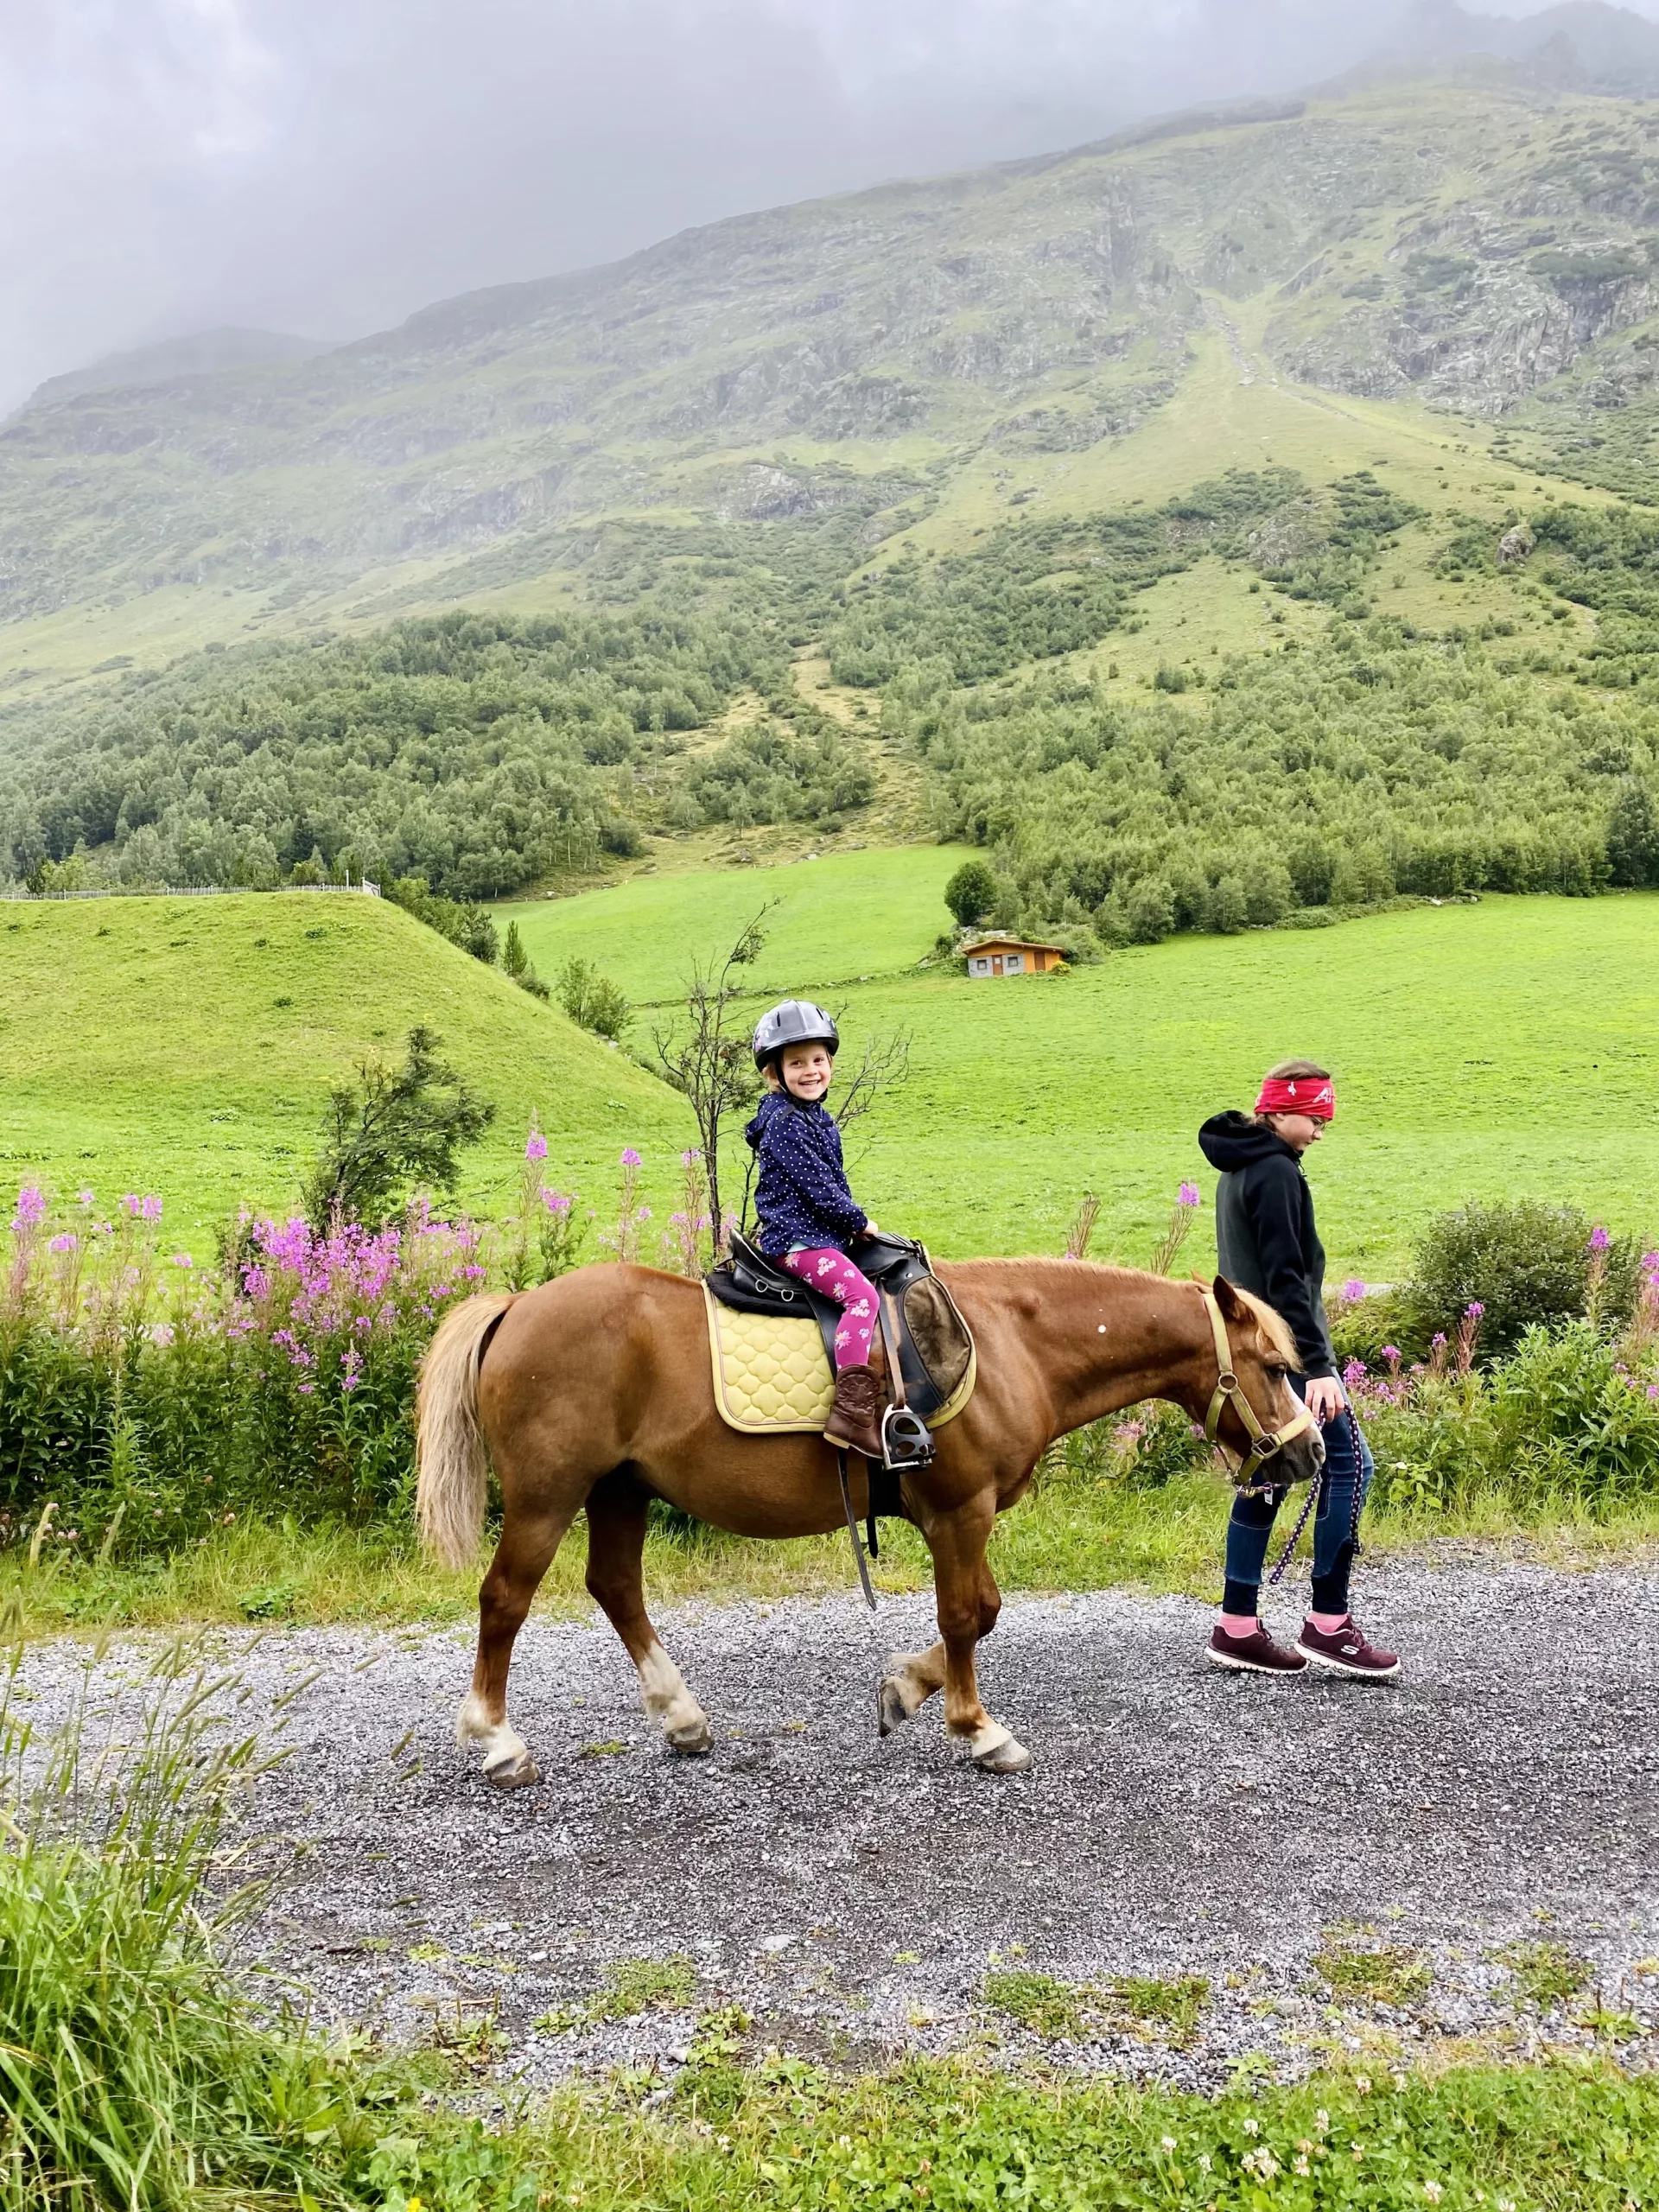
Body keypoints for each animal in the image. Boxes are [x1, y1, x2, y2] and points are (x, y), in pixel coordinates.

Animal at [417, 1265, 1327, 1778]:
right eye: (1272, 1365)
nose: (1312, 1450)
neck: (1010, 1342)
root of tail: (517, 1307)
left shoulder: (963, 1514)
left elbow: (981, 1614)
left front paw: (905, 1691)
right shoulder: (960, 1511)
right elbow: (965, 1616)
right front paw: (976, 1729)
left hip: (619, 1490)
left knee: (615, 1587)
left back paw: (681, 1718)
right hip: (549, 1496)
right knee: (505, 1600)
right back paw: (497, 1741)